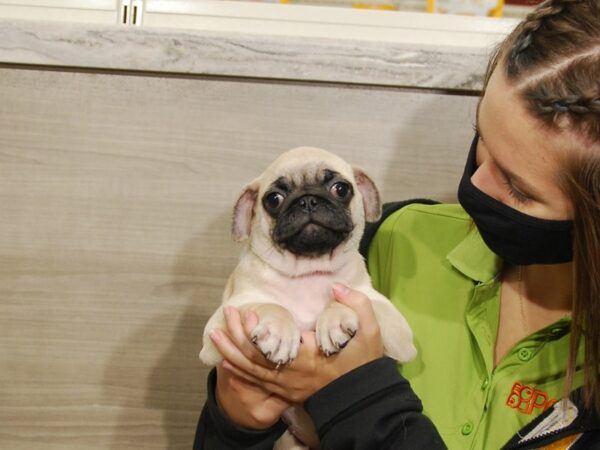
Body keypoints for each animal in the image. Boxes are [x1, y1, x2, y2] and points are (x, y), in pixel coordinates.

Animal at [199, 146, 414, 448]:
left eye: (341, 189)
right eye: (273, 199)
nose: (308, 201)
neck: (308, 271)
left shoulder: (396, 327)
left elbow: (353, 299)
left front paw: (334, 320)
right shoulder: (220, 323)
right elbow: (270, 304)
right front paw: (279, 332)